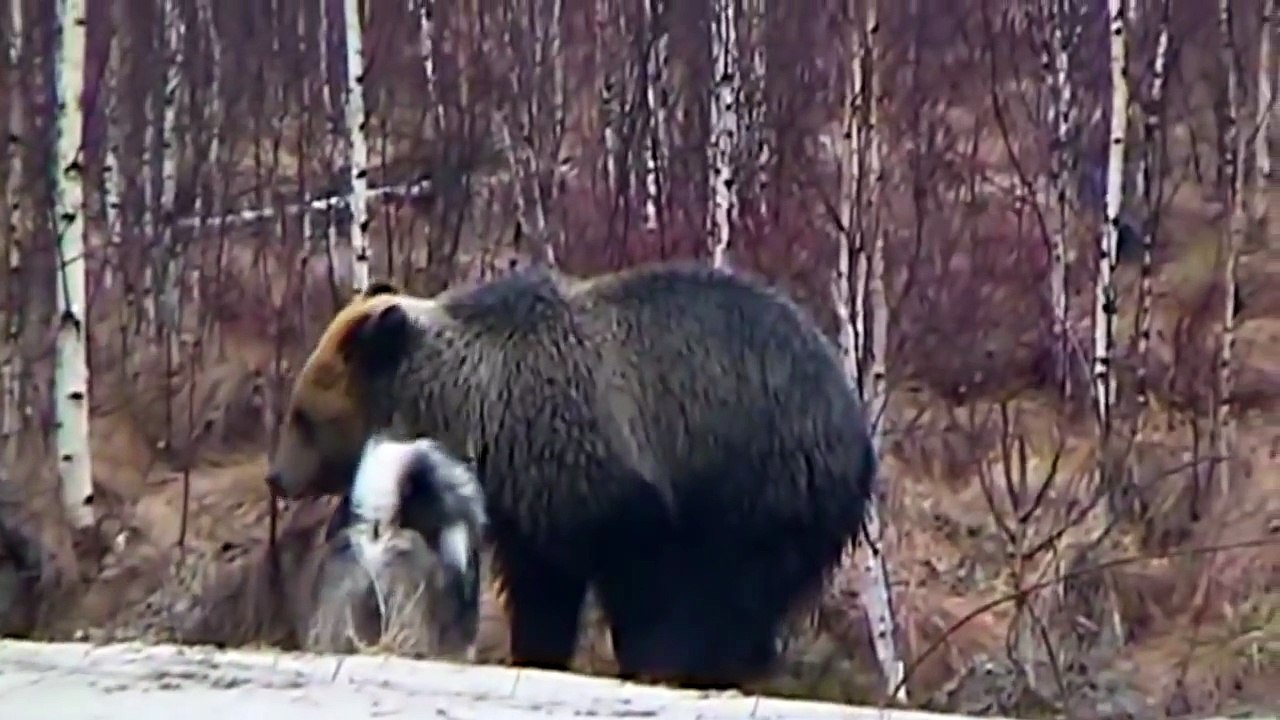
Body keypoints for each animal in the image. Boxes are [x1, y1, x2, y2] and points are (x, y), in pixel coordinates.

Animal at [266, 262, 877, 689]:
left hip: (760, 477)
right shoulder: (535, 503)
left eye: (303, 415)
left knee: (735, 582)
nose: (276, 477)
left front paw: (651, 656)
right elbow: (542, 586)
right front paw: (537, 648)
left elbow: (643, 578)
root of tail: (855, 423)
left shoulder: (612, 477)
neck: (482, 418)